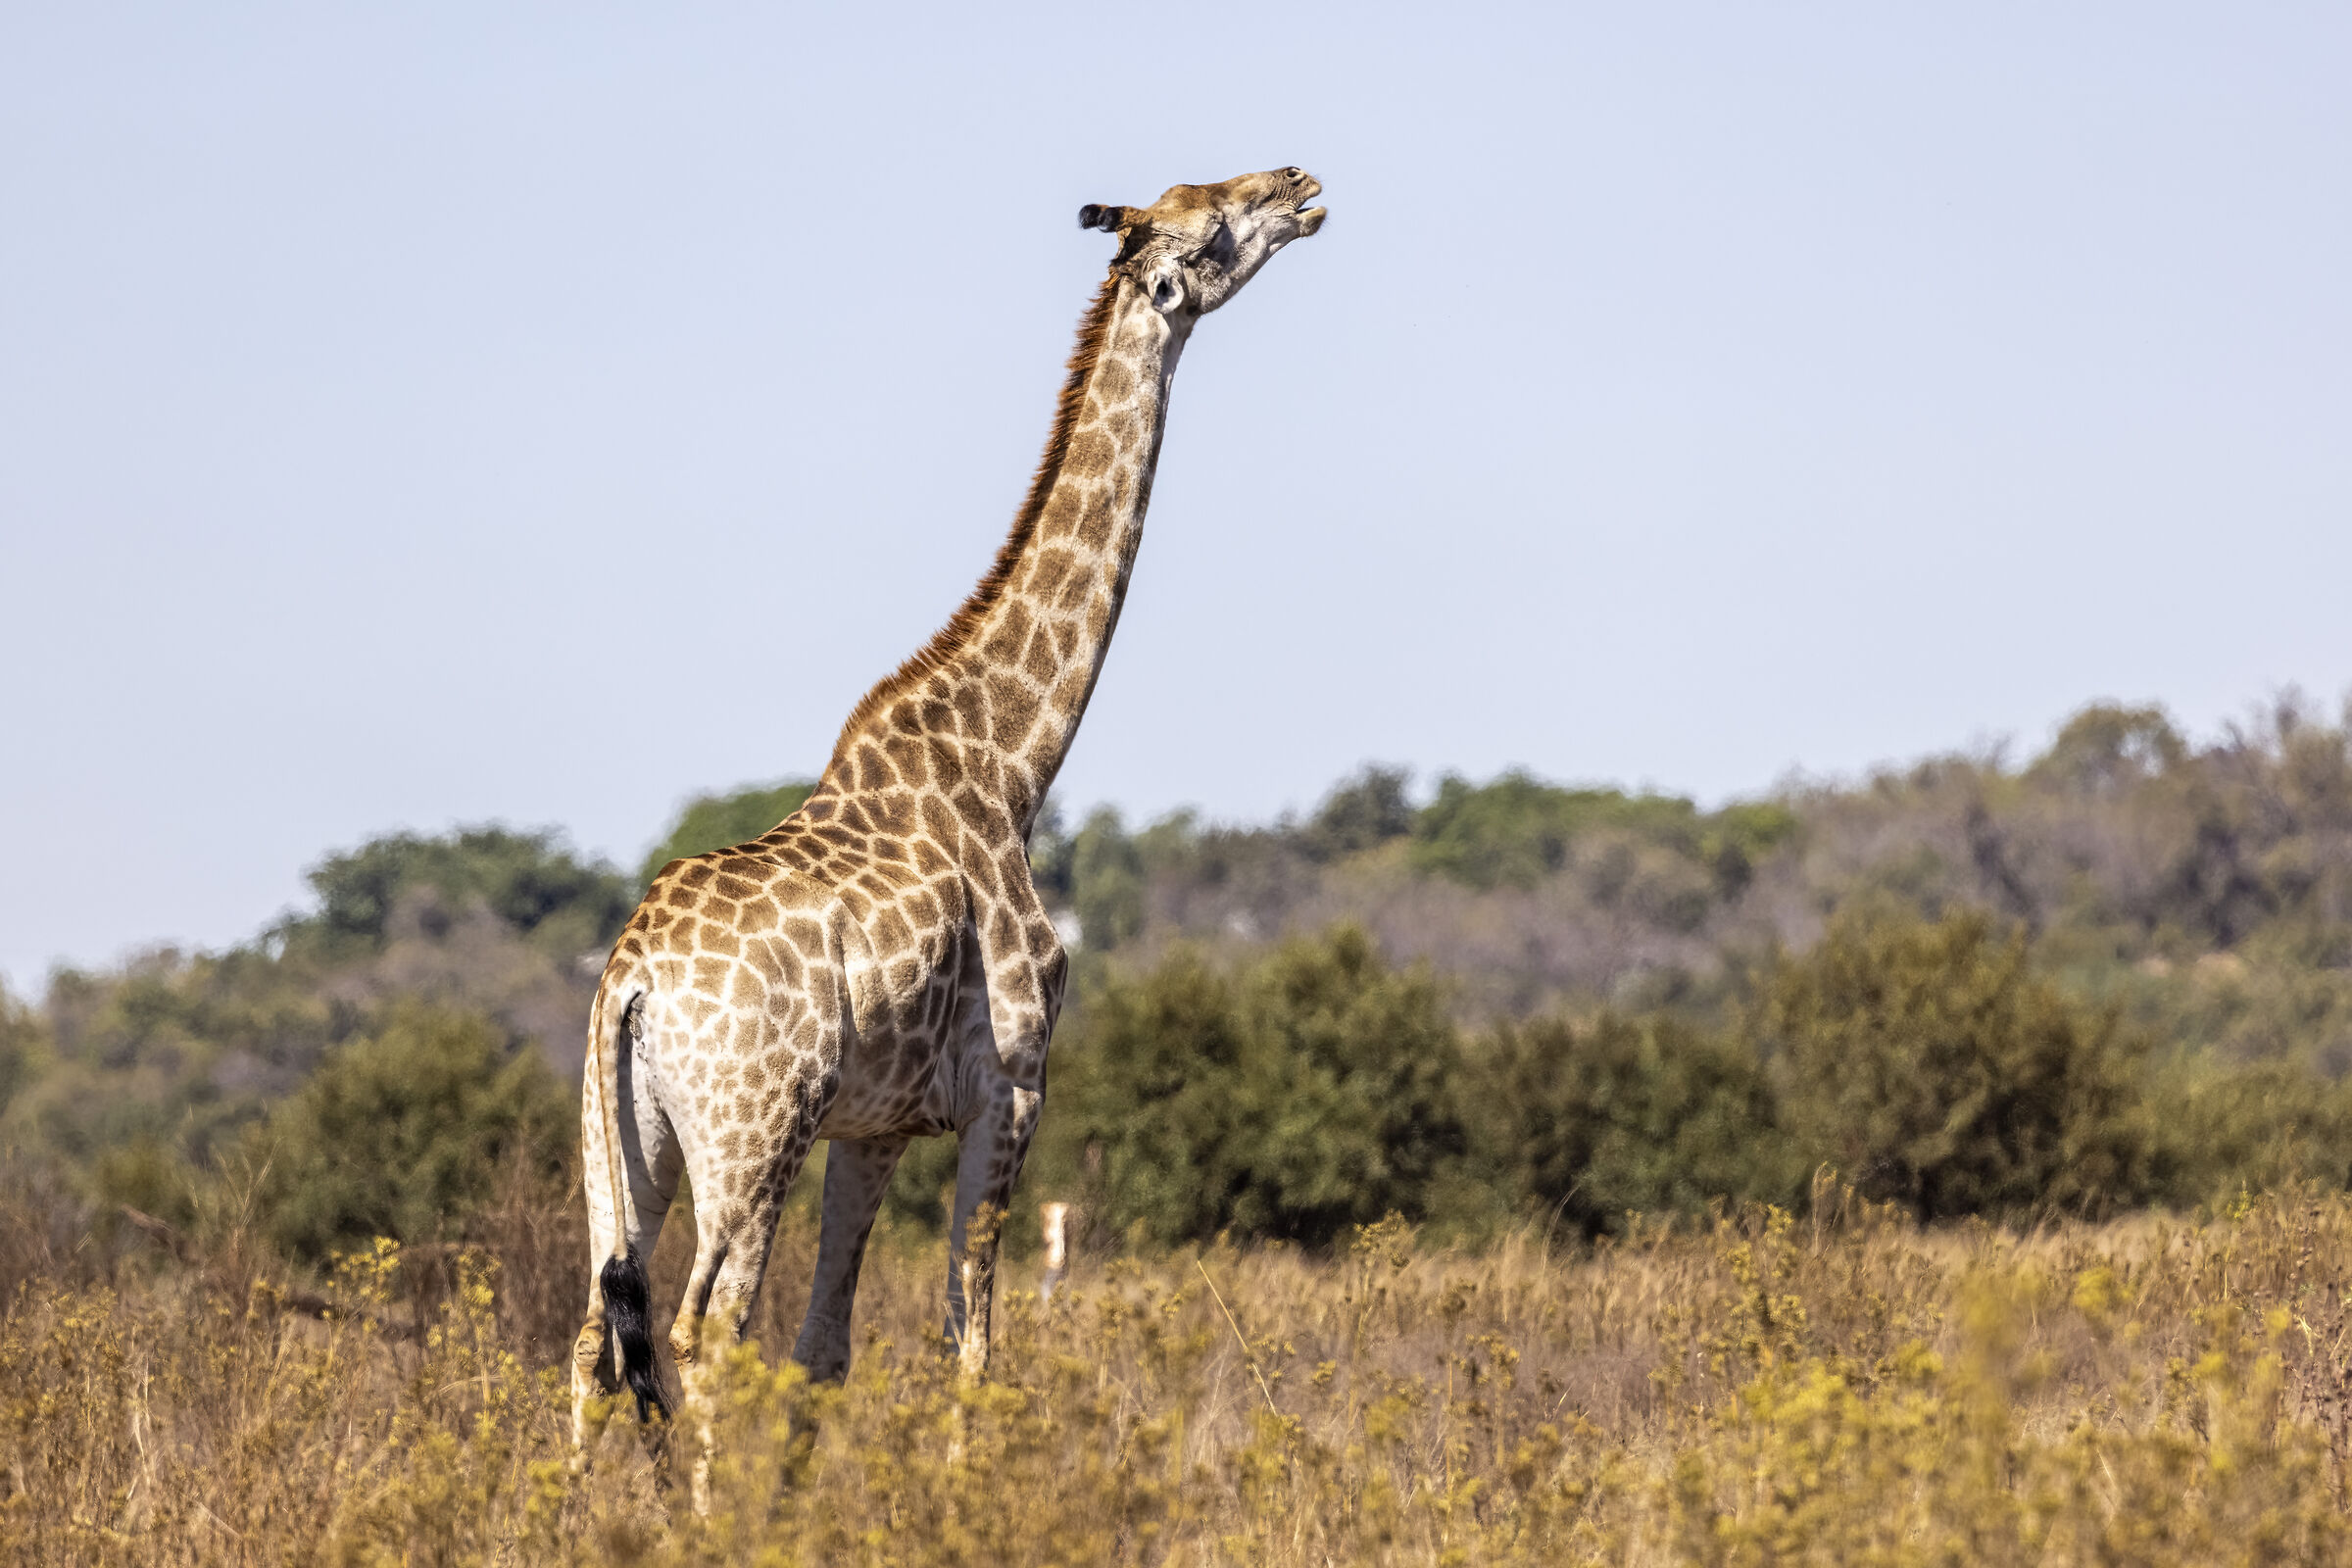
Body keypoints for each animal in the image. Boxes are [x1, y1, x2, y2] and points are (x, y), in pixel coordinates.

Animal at [569, 167, 1328, 1475]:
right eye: (1210, 230)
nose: (1300, 183)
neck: (1013, 763)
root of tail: (630, 979)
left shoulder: (873, 1128)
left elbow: (827, 1351)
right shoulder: (1012, 1089)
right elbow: (970, 1344)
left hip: (627, 1147)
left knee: (591, 1339)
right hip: (750, 1136)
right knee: (702, 1330)